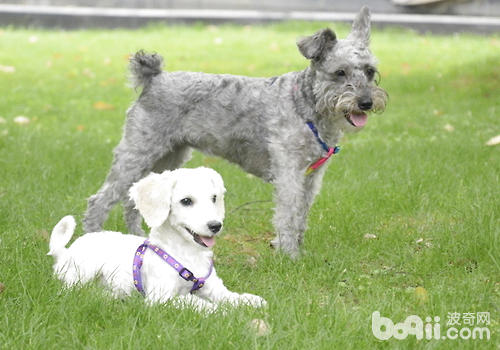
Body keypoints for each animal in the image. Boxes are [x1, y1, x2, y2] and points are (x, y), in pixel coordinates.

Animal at [47, 167, 266, 312]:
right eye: (186, 201)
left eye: (214, 198)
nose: (215, 225)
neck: (188, 255)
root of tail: (64, 253)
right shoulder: (162, 298)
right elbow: (196, 302)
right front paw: (222, 312)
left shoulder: (214, 288)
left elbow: (230, 296)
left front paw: (249, 300)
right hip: (82, 272)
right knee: (74, 289)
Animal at [83, 5, 386, 258]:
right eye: (340, 72)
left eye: (370, 71)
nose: (366, 103)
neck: (306, 107)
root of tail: (154, 78)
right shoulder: (289, 174)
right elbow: (288, 215)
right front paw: (290, 256)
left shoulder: (311, 178)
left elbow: (301, 215)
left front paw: (295, 248)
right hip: (137, 154)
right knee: (100, 201)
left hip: (167, 158)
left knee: (135, 201)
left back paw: (139, 239)